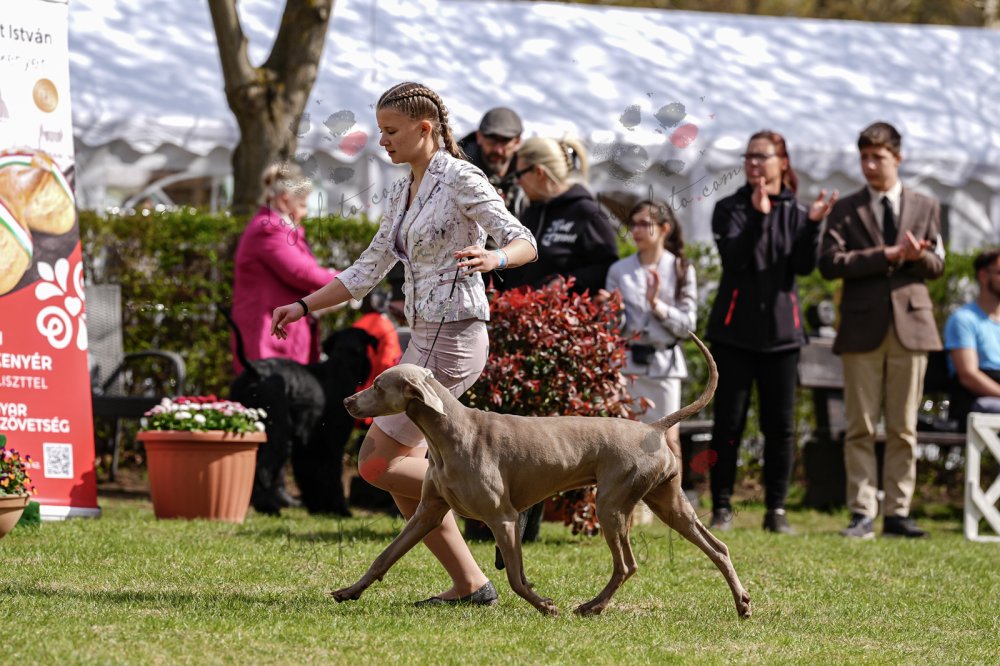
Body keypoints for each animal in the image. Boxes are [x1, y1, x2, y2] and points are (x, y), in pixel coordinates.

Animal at [222, 306, 375, 516]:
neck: (340, 364)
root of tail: (255, 371)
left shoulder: (309, 445)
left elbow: (309, 474)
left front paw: (317, 507)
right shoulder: (333, 443)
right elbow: (332, 474)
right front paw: (340, 509)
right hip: (277, 433)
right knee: (263, 468)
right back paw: (269, 507)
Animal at [334, 333, 751, 618]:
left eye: (378, 385)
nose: (347, 401)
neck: (449, 433)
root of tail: (652, 428)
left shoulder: (503, 518)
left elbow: (516, 578)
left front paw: (545, 606)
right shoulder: (427, 513)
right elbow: (384, 556)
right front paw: (348, 591)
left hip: (610, 503)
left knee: (627, 564)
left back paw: (591, 606)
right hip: (668, 502)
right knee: (718, 547)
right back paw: (742, 603)